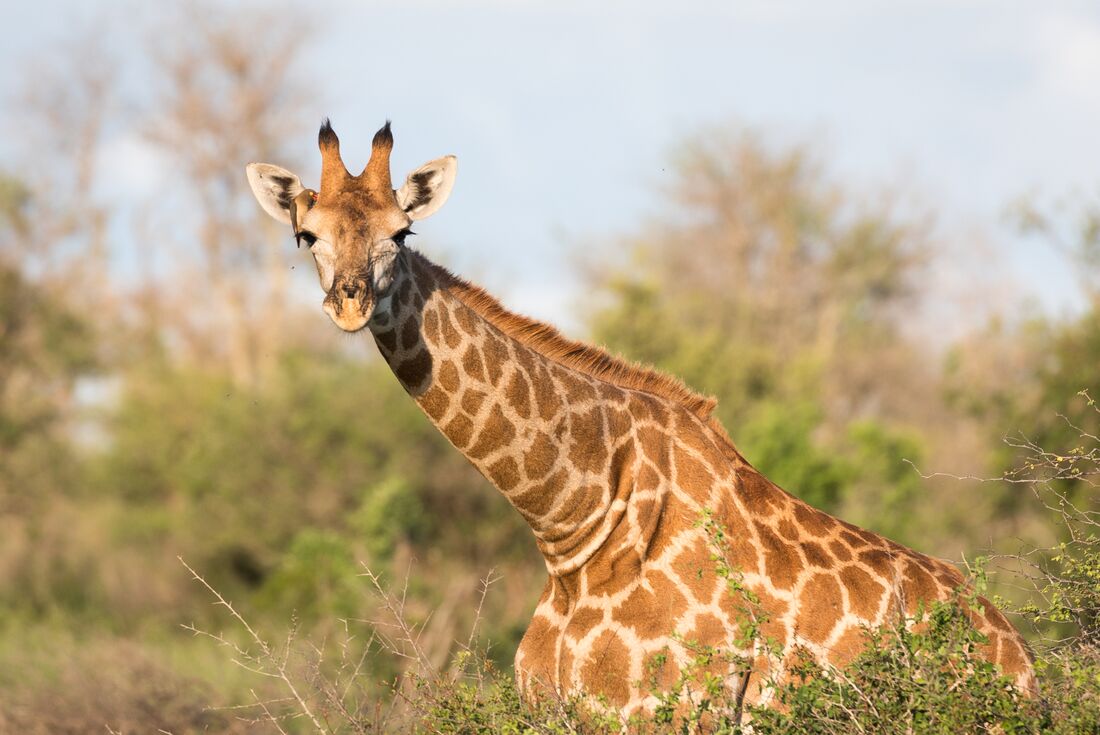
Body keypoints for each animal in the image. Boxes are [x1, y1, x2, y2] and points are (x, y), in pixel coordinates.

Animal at [246, 121, 1036, 720]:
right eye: (306, 236)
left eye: (403, 233)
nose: (351, 301)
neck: (571, 525)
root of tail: (1024, 659)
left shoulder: (663, 711)